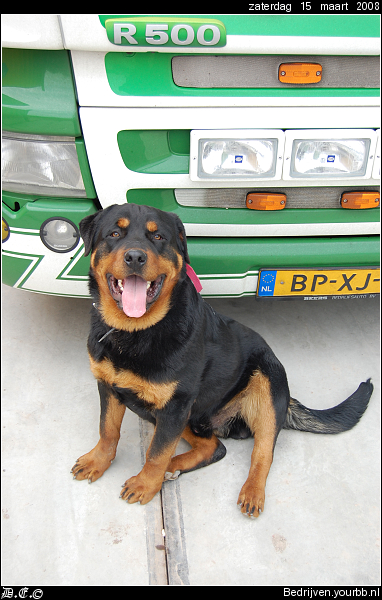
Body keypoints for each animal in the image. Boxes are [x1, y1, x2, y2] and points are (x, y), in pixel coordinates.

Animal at [71, 204, 374, 516]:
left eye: (158, 237)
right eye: (114, 234)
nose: (135, 256)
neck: (134, 332)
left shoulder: (174, 407)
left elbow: (155, 453)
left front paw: (145, 484)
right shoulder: (110, 388)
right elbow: (107, 430)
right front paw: (97, 462)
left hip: (265, 386)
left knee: (262, 453)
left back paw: (250, 492)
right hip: (189, 417)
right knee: (214, 447)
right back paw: (174, 467)